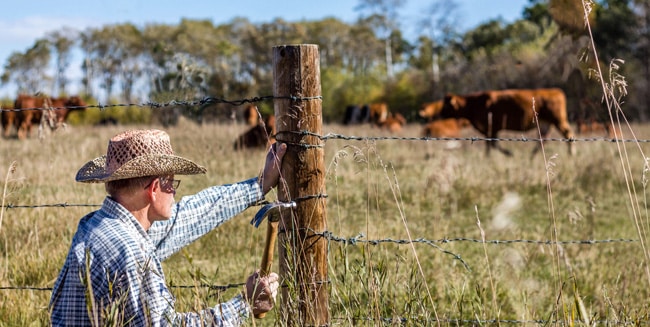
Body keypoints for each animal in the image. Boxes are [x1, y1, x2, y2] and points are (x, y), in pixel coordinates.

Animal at [436, 89, 572, 157]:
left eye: (446, 106)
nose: (439, 114)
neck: (474, 104)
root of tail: (555, 91)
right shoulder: (489, 130)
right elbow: (491, 144)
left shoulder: (491, 128)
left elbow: (492, 144)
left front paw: (507, 154)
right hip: (545, 122)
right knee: (543, 139)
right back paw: (532, 156)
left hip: (558, 120)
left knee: (568, 134)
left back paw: (571, 153)